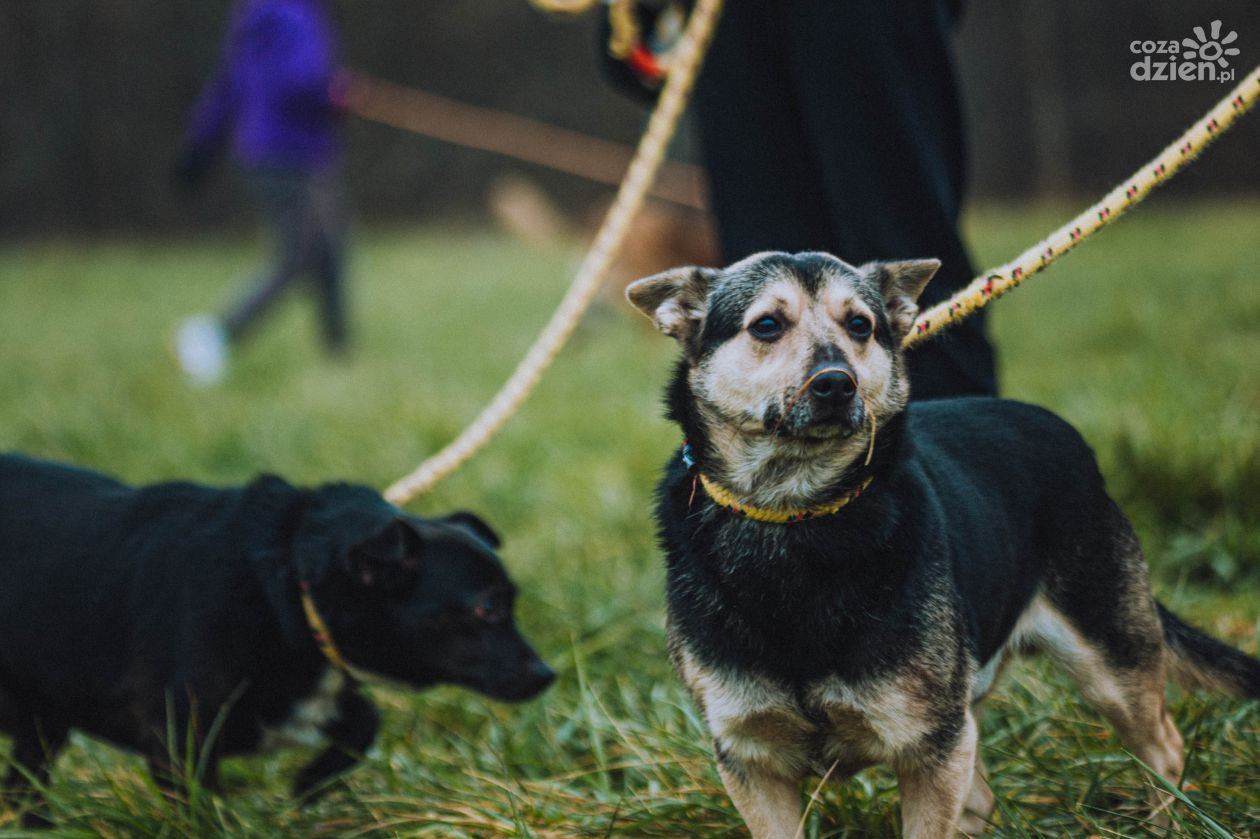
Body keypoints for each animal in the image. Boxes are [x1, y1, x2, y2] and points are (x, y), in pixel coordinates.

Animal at [0, 453, 551, 811]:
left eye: (512, 602)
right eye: (487, 608)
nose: (548, 674)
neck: (288, 579)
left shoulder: (303, 698)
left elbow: (364, 722)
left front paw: (308, 787)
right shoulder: (180, 742)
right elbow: (201, 815)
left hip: (42, 725)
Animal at [627, 249, 1260, 836]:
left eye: (860, 325)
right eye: (765, 325)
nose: (836, 384)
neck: (796, 512)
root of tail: (1069, 437)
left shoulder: (929, 748)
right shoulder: (752, 760)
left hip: (1109, 661)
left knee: (1164, 749)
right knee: (983, 799)